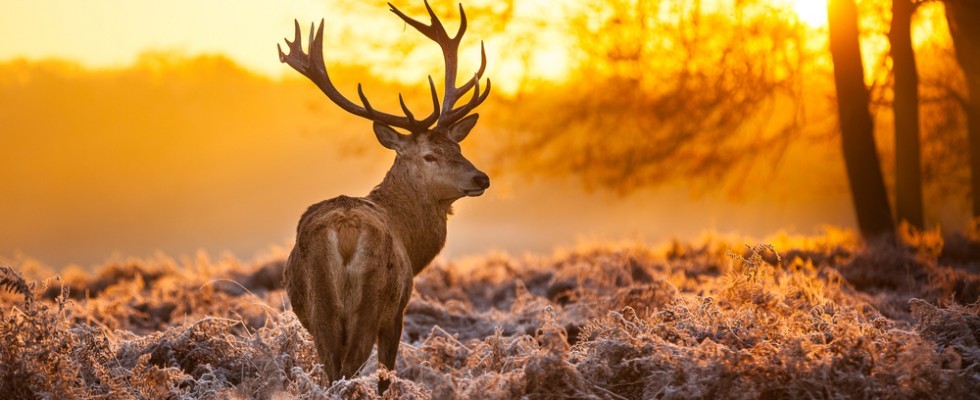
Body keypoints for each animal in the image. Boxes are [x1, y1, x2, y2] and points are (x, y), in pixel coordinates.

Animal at [276, 0, 490, 394]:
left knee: (332, 371)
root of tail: (344, 231)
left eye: (458, 147)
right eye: (429, 156)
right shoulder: (398, 311)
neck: (411, 240)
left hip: (319, 307)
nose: (481, 177)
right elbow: (386, 377)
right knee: (350, 370)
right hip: (371, 302)